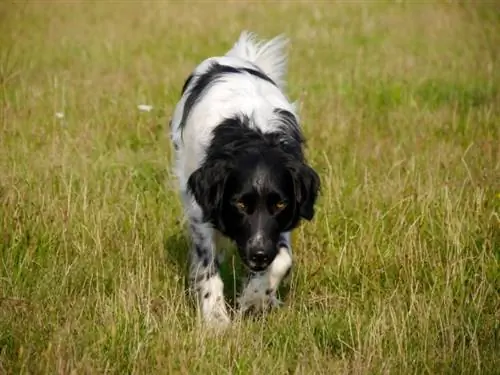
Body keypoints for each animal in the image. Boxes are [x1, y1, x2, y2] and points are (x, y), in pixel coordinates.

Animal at [170, 30, 320, 328]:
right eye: (240, 204)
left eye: (279, 204)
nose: (259, 255)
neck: (254, 136)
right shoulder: (199, 210)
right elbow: (208, 268)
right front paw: (216, 319)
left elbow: (283, 260)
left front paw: (256, 298)